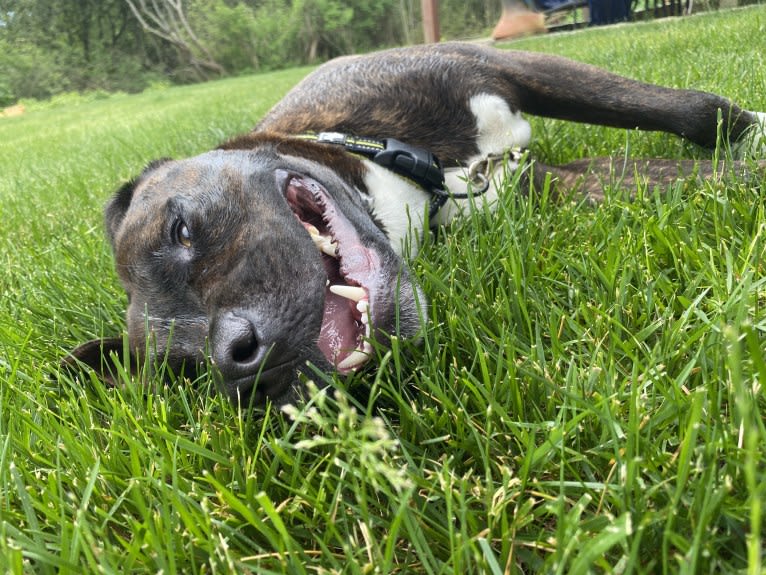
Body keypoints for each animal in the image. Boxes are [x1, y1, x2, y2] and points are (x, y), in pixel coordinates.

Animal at [66, 42, 766, 404]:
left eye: (181, 230)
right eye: (186, 371)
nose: (240, 362)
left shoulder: (510, 66)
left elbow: (692, 112)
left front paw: (750, 130)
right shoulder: (536, 186)